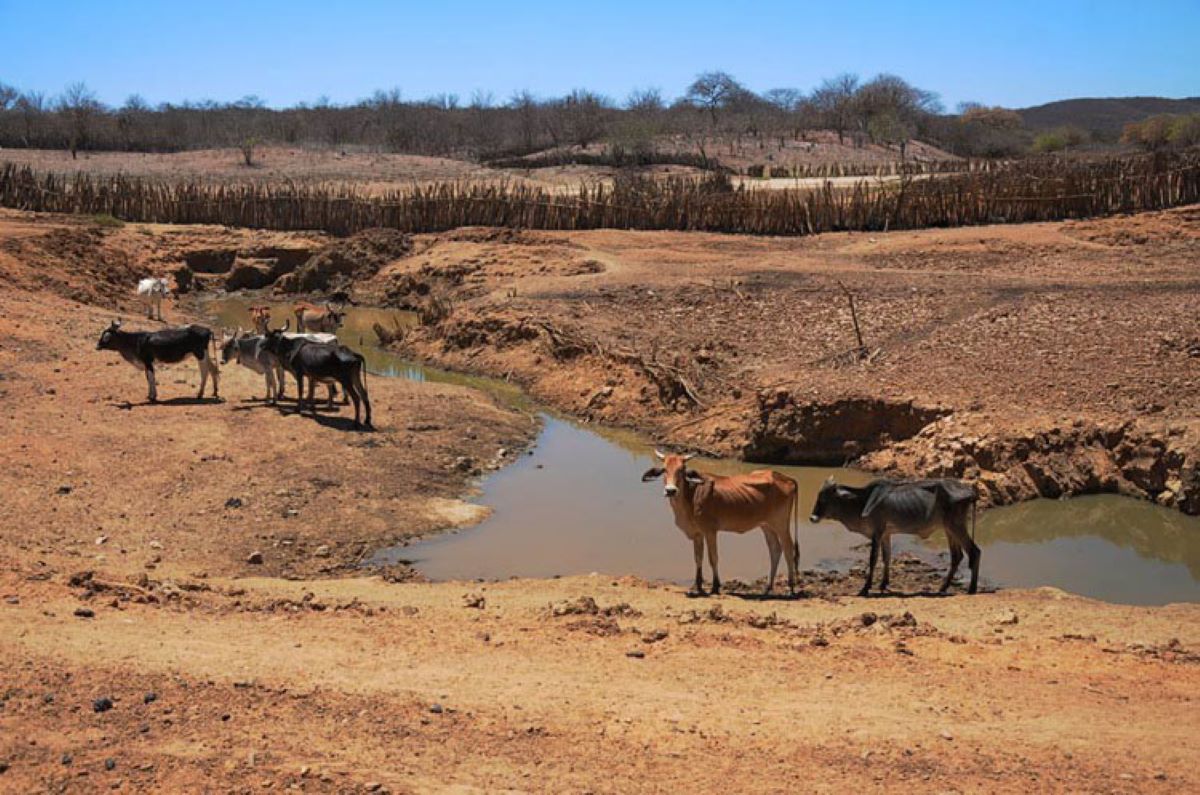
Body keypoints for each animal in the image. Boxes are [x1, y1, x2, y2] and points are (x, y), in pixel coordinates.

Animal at [643, 453, 801, 598]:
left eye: (682, 470)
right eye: (664, 469)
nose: (671, 490)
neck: (691, 496)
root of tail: (787, 478)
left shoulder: (710, 531)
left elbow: (713, 558)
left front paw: (715, 586)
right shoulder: (697, 534)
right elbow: (698, 558)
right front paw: (698, 586)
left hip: (781, 524)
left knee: (788, 549)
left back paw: (791, 588)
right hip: (766, 525)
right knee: (775, 550)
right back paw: (767, 589)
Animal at [811, 480, 979, 598]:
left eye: (824, 498)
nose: (812, 517)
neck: (861, 502)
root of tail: (970, 490)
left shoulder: (877, 532)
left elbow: (873, 559)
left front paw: (865, 588)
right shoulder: (886, 534)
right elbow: (887, 557)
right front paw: (883, 584)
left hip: (956, 526)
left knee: (974, 551)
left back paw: (972, 589)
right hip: (948, 528)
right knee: (957, 556)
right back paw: (943, 587)